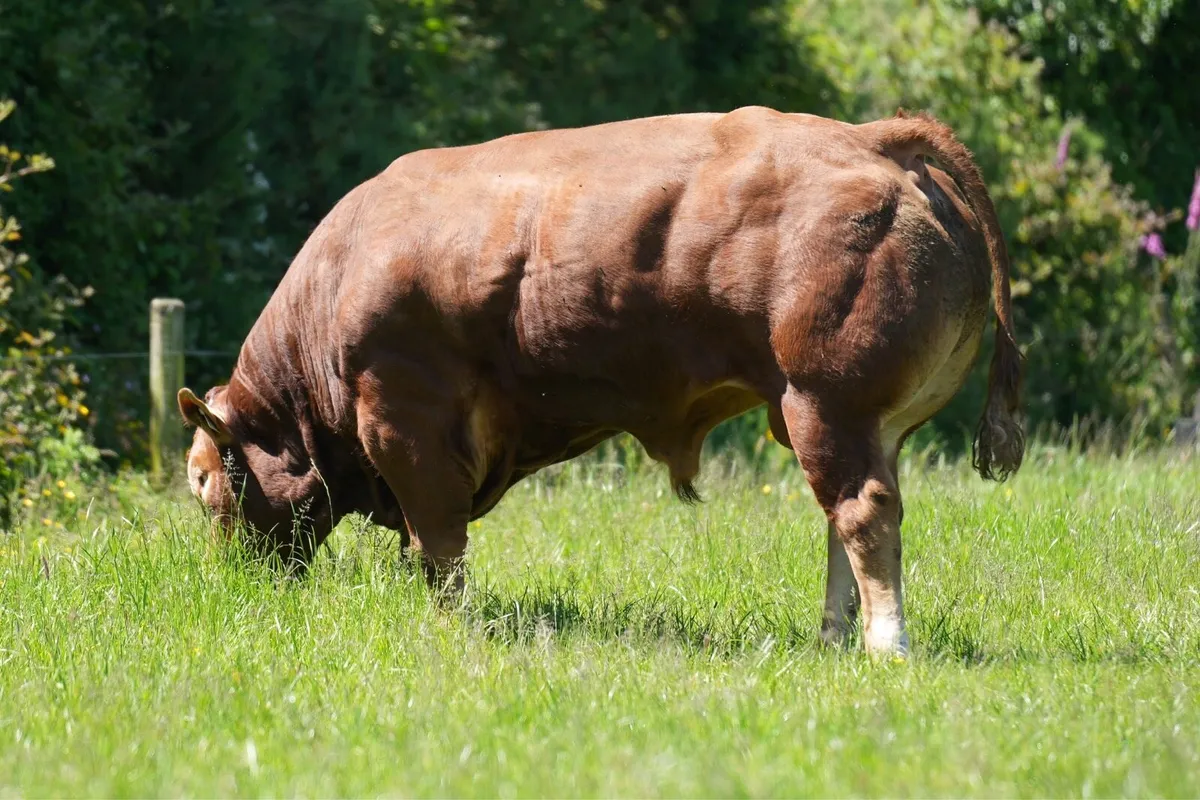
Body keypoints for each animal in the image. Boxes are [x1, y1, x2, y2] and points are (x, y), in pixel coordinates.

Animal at [178, 106, 1022, 656]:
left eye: (202, 478)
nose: (228, 583)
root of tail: (875, 139)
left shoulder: (403, 420)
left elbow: (439, 545)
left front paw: (450, 628)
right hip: (862, 422)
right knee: (846, 519)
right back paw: (832, 637)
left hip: (826, 402)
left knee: (863, 513)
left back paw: (885, 644)